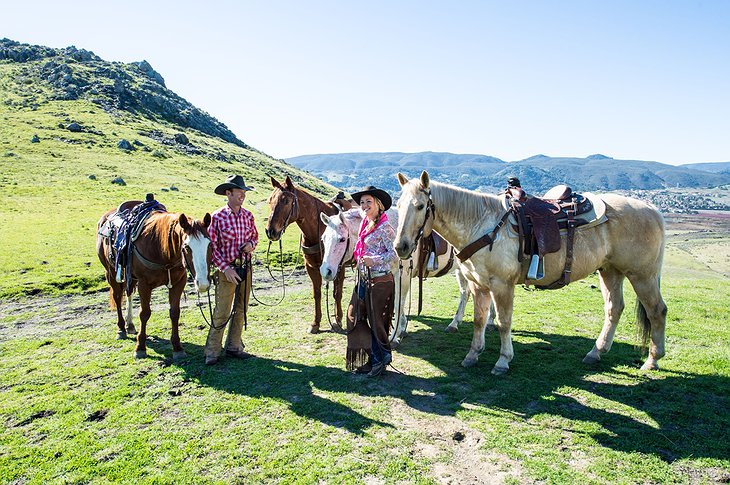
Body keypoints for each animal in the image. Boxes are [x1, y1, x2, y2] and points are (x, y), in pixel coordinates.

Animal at [97, 206, 210, 358]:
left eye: (210, 244)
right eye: (187, 247)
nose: (203, 284)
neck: (161, 250)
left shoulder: (179, 282)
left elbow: (175, 313)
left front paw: (177, 348)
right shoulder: (144, 284)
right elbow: (144, 313)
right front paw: (140, 347)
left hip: (130, 276)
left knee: (128, 293)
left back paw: (130, 325)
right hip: (110, 272)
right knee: (117, 296)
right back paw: (121, 329)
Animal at [264, 177, 346, 332]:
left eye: (286, 201)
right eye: (270, 200)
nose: (271, 231)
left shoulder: (340, 266)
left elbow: (337, 293)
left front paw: (337, 319)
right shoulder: (312, 267)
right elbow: (317, 293)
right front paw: (315, 323)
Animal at [318, 206, 478, 346]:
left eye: (341, 239)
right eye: (323, 239)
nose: (325, 271)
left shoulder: (403, 275)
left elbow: (398, 302)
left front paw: (395, 336)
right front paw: (401, 328)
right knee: (465, 292)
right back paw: (456, 323)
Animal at [392, 170, 664, 374]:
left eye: (420, 206)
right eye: (399, 205)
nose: (400, 247)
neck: (482, 225)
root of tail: (652, 209)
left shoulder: (502, 285)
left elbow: (503, 322)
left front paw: (503, 361)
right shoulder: (479, 284)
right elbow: (479, 319)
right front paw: (472, 355)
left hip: (642, 275)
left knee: (656, 311)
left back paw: (652, 360)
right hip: (610, 270)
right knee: (614, 308)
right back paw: (595, 353)